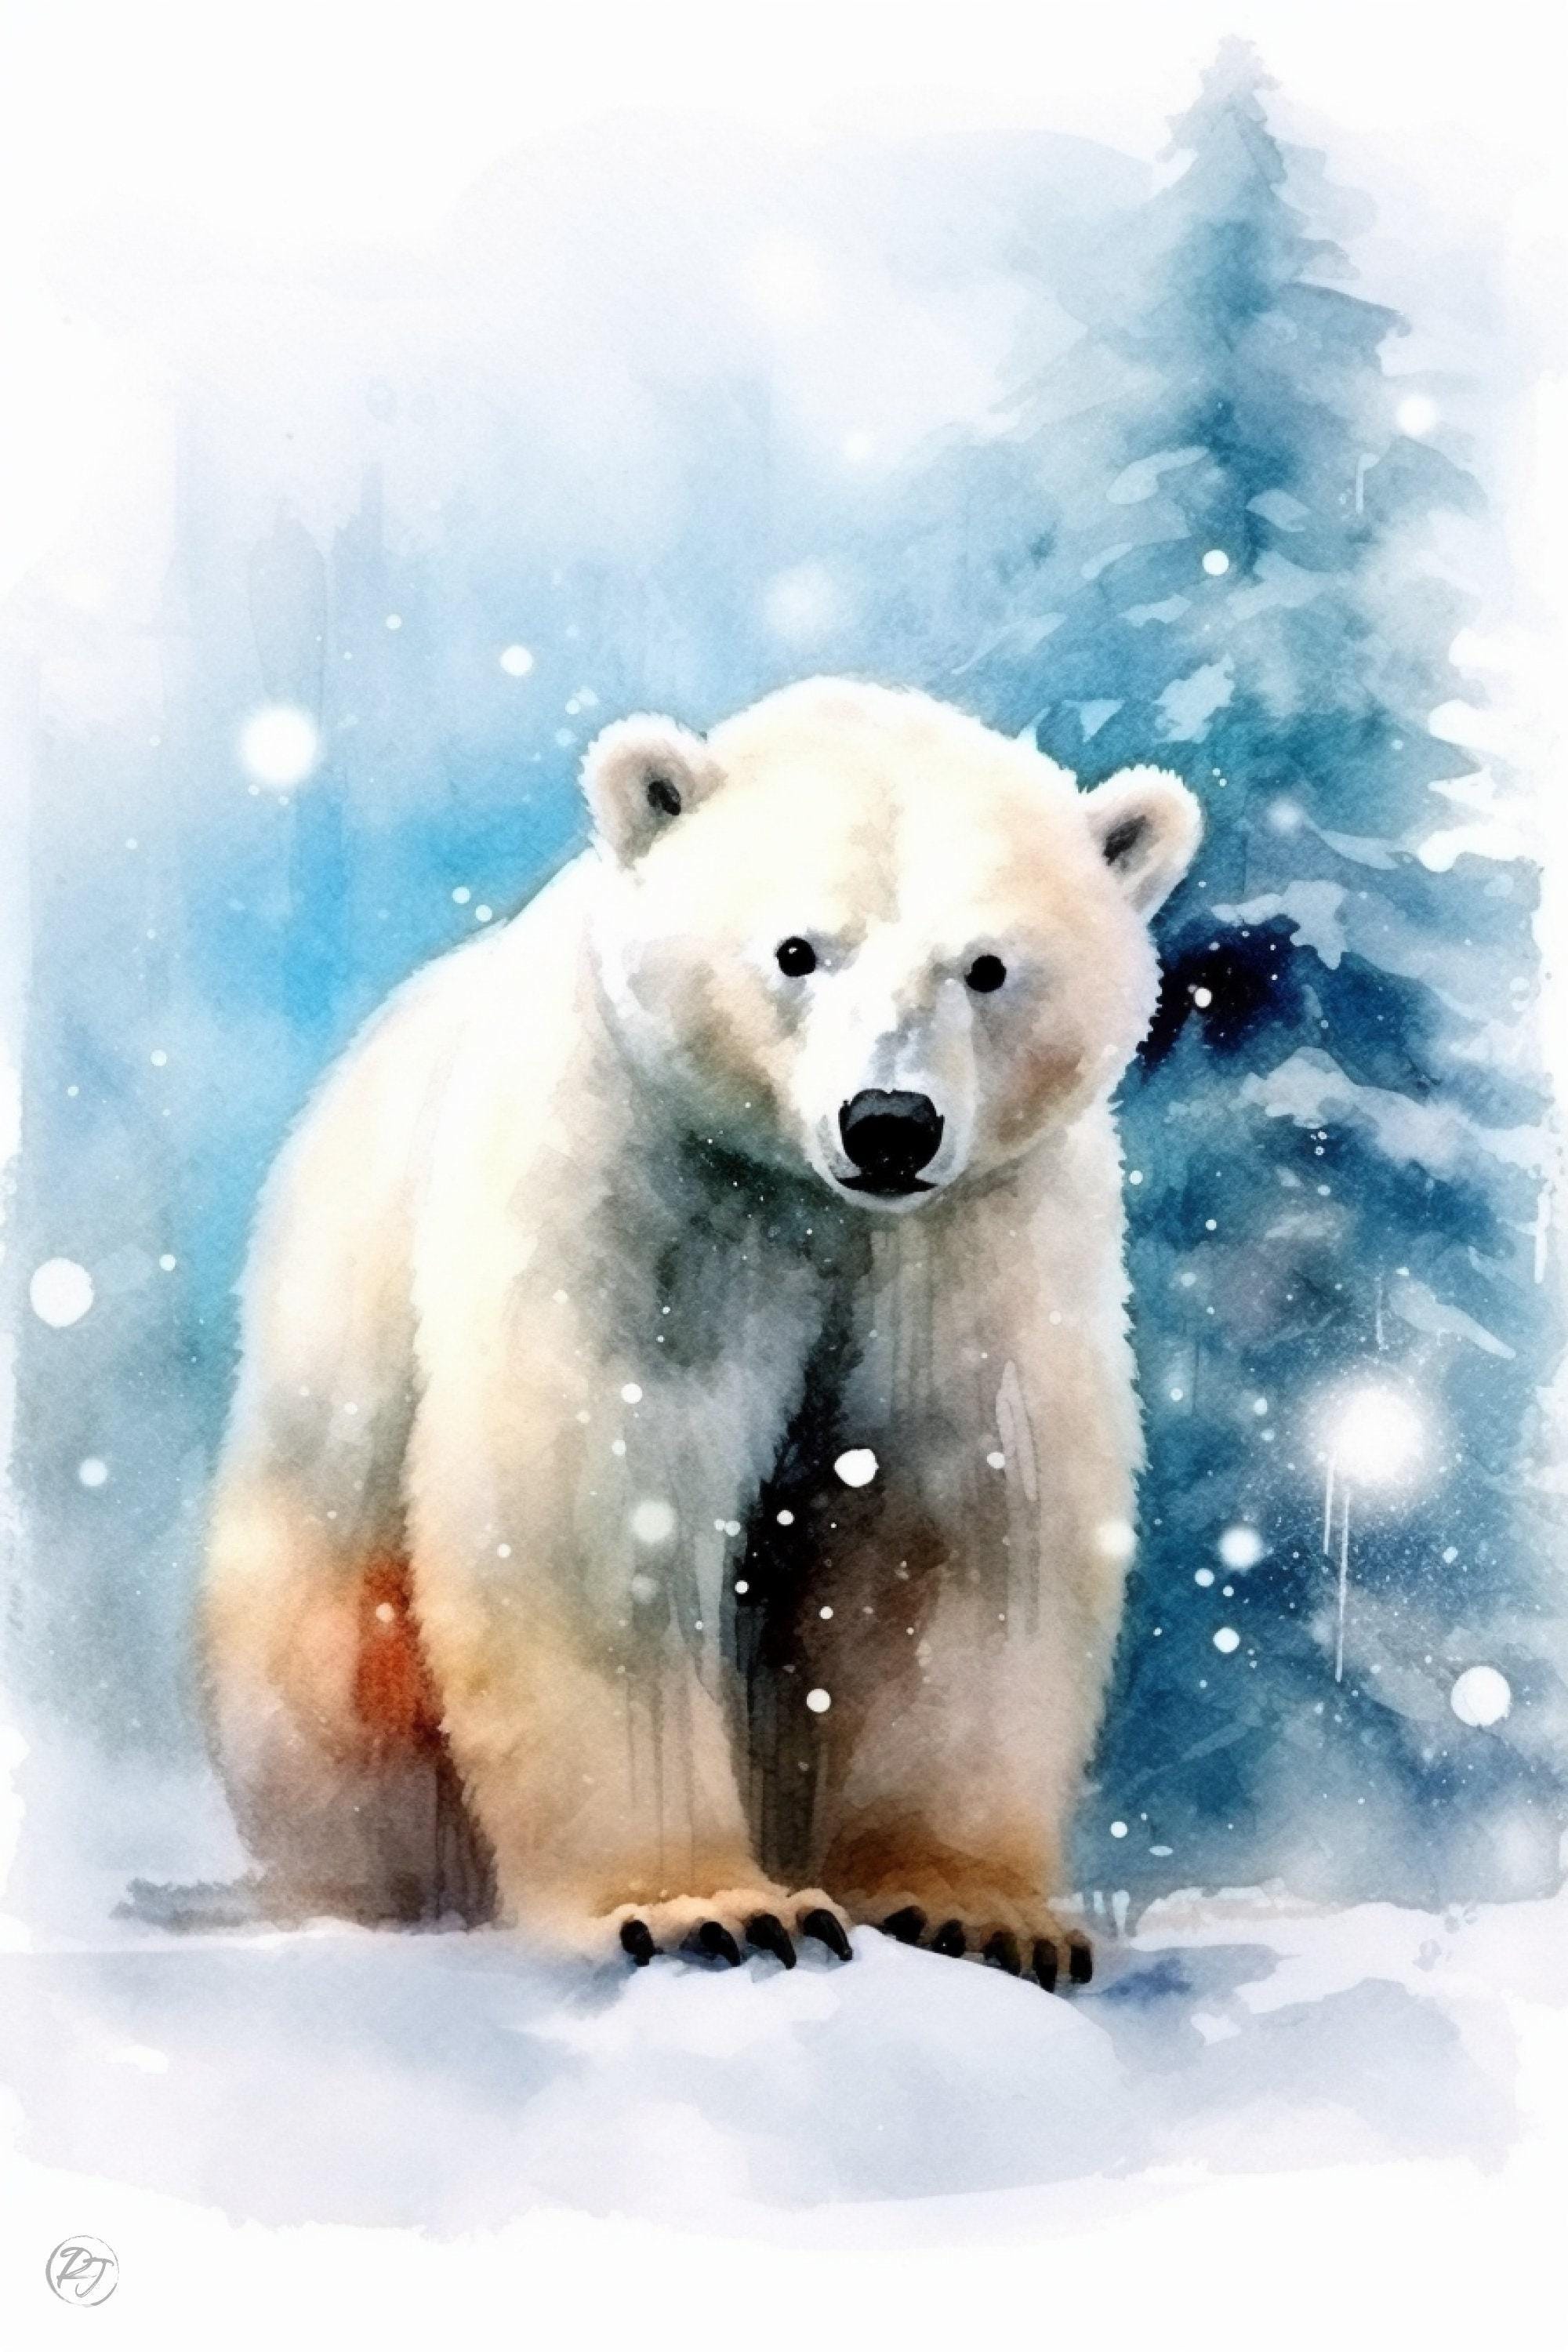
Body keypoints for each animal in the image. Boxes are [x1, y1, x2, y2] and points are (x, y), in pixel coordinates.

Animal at [200, 677, 1201, 1986]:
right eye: (796, 951)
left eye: (986, 966)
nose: (889, 1123)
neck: (810, 1197)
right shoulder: (648, 1185)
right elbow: (609, 1501)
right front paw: (709, 1910)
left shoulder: (970, 1241)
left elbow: (951, 1522)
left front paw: (973, 1910)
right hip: (325, 1484)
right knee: (340, 1698)